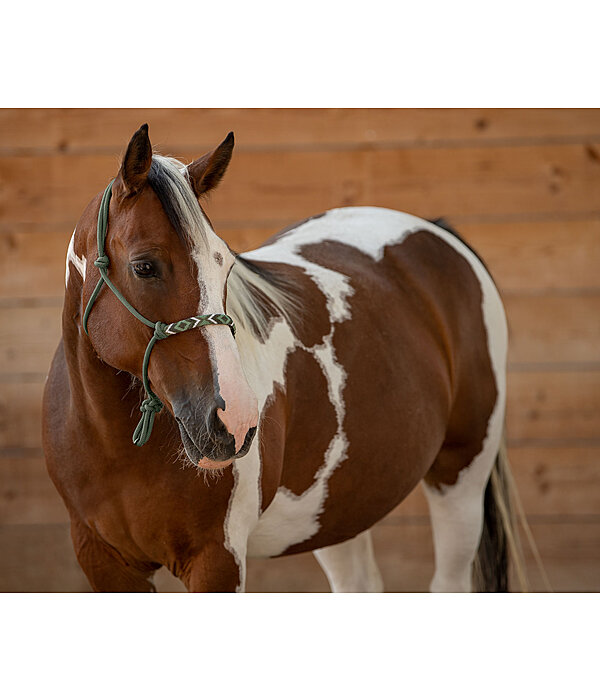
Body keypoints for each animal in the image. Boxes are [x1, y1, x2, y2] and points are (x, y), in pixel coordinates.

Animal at [42, 124, 524, 592]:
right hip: (335, 504)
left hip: (461, 478)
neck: (114, 448)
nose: (233, 421)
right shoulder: (103, 562)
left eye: (226, 265)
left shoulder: (216, 561)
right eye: (144, 266)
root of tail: (435, 230)